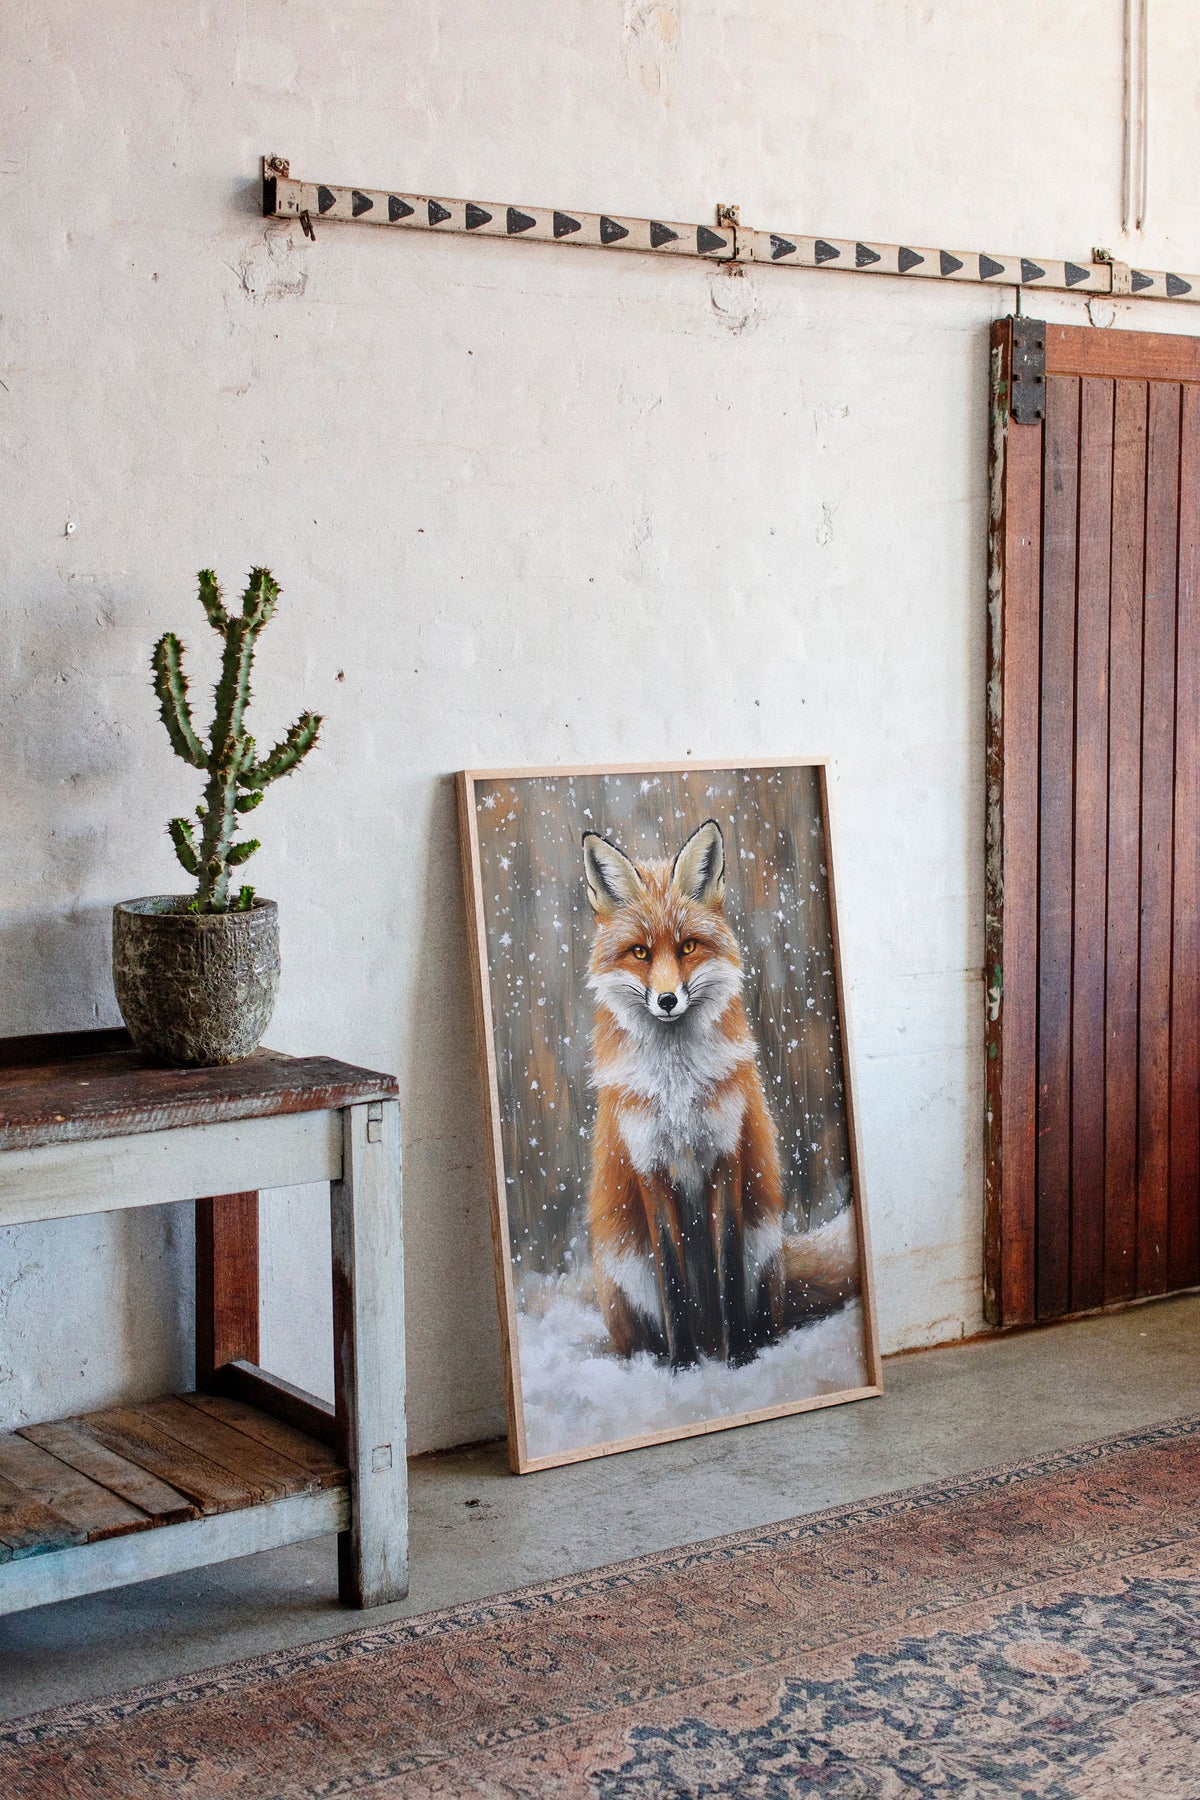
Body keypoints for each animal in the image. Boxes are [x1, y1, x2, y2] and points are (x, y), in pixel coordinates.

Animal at [584, 817, 859, 1370]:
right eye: (640, 952)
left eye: (688, 947)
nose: (668, 999)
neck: (677, 1090)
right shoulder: (649, 1166)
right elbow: (673, 1280)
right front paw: (683, 1370)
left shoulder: (726, 1154)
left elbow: (728, 1268)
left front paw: (742, 1362)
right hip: (625, 1271)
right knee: (639, 1336)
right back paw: (659, 1361)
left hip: (763, 1246)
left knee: (766, 1309)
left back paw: (750, 1344)